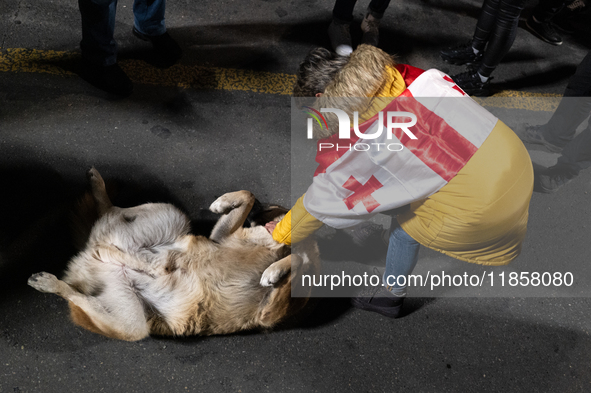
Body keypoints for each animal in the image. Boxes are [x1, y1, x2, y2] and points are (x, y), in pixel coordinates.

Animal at [28, 168, 320, 340]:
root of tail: (90, 254)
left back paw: (51, 281)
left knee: (78, 290)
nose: (261, 206)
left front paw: (276, 269)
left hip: (134, 323)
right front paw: (224, 202)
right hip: (169, 215)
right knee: (110, 212)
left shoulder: (269, 313)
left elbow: (302, 258)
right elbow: (247, 194)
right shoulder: (220, 238)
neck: (275, 241)